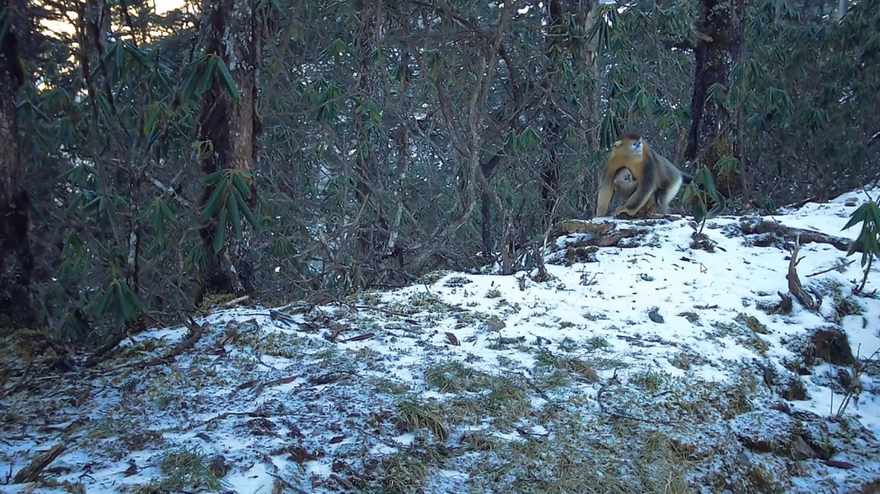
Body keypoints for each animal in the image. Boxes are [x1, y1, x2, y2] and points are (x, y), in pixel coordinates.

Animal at [600, 134, 728, 219]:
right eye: (634, 144)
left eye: (639, 143)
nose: (639, 147)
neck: (629, 157)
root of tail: (677, 173)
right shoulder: (613, 161)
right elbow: (607, 185)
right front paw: (600, 213)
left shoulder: (648, 161)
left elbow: (647, 187)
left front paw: (627, 209)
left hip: (674, 183)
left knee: (659, 197)